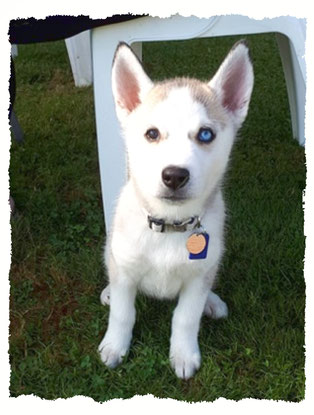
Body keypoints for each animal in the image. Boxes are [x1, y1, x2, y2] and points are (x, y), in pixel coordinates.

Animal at [99, 39, 254, 380]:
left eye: (206, 134)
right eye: (152, 133)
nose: (174, 175)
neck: (169, 226)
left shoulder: (197, 277)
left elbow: (185, 316)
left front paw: (183, 354)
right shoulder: (125, 270)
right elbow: (122, 312)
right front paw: (115, 346)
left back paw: (212, 303)